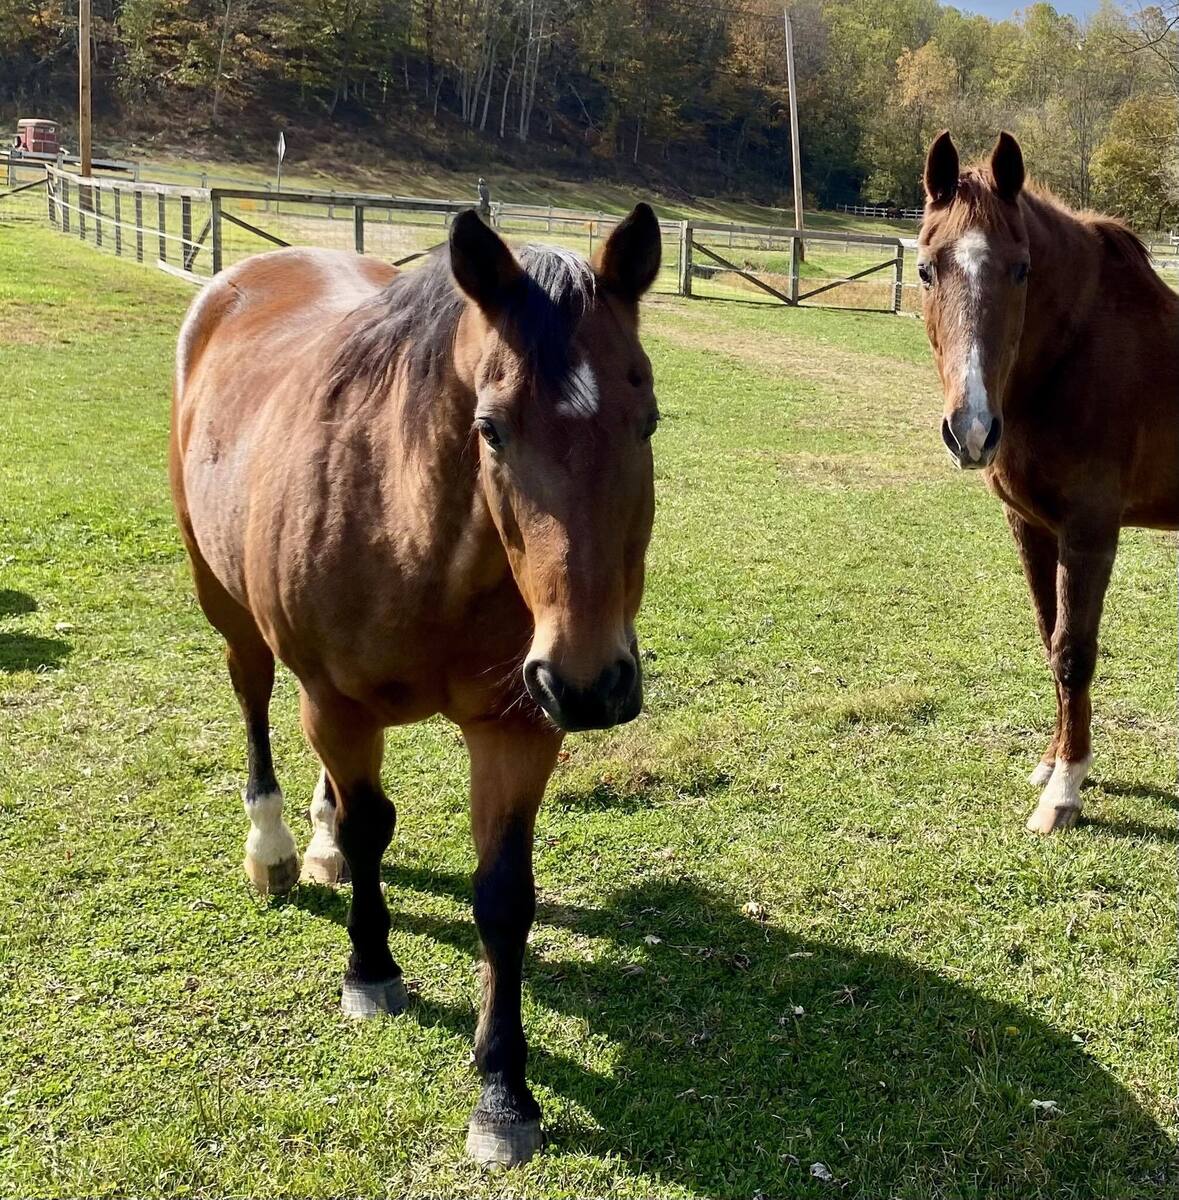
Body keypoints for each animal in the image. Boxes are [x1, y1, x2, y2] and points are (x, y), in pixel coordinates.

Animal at [169, 205, 662, 1166]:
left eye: (649, 419)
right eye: (492, 429)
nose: (591, 684)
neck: (413, 535)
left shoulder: (517, 725)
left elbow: (503, 896)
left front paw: (503, 1093)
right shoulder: (334, 703)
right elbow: (372, 831)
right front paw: (371, 970)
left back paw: (316, 844)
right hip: (230, 611)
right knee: (253, 702)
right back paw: (274, 849)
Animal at [917, 131, 1178, 834]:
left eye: (1021, 270)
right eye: (926, 269)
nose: (971, 429)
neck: (1078, 349)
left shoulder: (1090, 532)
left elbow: (1073, 650)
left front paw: (1064, 790)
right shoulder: (1032, 526)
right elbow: (1047, 635)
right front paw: (1054, 760)